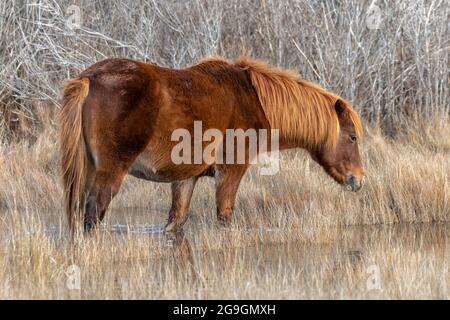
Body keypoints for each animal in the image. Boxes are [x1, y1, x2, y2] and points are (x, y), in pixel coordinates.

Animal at [59, 55, 364, 235]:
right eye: (352, 137)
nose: (359, 179)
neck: (253, 98)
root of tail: (89, 78)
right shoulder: (230, 172)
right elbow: (224, 216)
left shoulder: (185, 179)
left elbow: (175, 223)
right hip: (109, 173)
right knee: (92, 213)